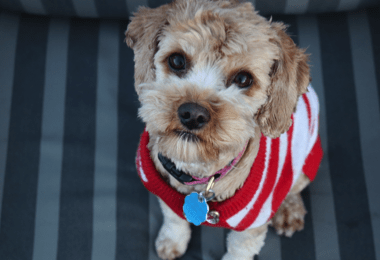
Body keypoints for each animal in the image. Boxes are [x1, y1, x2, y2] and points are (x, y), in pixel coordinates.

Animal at [126, 1, 322, 258]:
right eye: (177, 61)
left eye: (243, 79)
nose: (193, 114)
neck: (199, 176)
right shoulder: (167, 195)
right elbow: (174, 219)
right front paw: (172, 241)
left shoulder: (251, 228)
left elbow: (239, 251)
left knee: (292, 188)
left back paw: (289, 211)